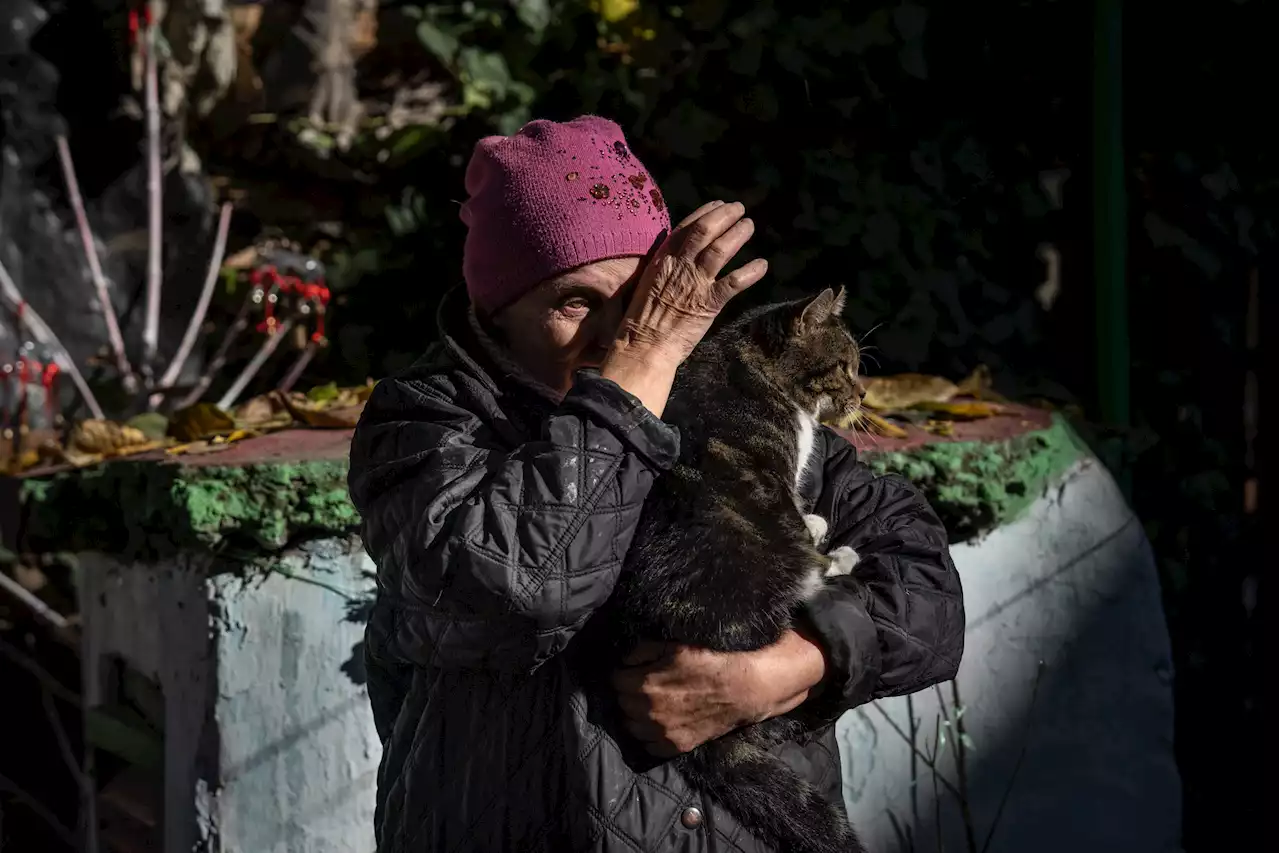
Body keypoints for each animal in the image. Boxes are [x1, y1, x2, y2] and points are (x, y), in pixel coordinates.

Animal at [601, 285, 865, 850]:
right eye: (844, 366)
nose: (864, 395)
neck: (750, 364)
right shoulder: (776, 482)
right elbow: (797, 519)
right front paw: (819, 532)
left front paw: (815, 521)